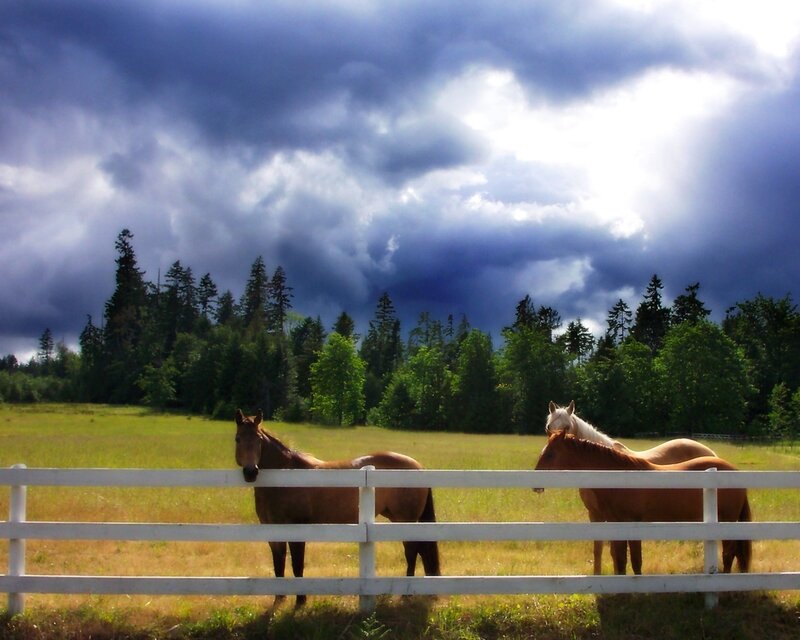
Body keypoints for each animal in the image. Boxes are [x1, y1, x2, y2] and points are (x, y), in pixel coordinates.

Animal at [234, 409, 440, 607]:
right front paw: (279, 599)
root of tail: (418, 467)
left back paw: (406, 595)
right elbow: (279, 563)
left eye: (258, 440)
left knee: (412, 552)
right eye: (237, 438)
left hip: (406, 520)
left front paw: (300, 601)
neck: (285, 478)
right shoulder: (273, 531)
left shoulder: (297, 529)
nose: (251, 472)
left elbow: (297, 564)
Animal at [534, 429, 752, 576]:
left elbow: (634, 560)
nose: (536, 485)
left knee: (729, 553)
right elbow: (621, 559)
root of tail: (733, 470)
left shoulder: (632, 523)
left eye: (551, 453)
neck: (620, 478)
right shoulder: (615, 525)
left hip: (727, 521)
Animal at [544, 401, 717, 574]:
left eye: (567, 427)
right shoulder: (595, 514)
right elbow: (598, 549)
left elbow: (614, 552)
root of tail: (710, 452)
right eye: (548, 427)